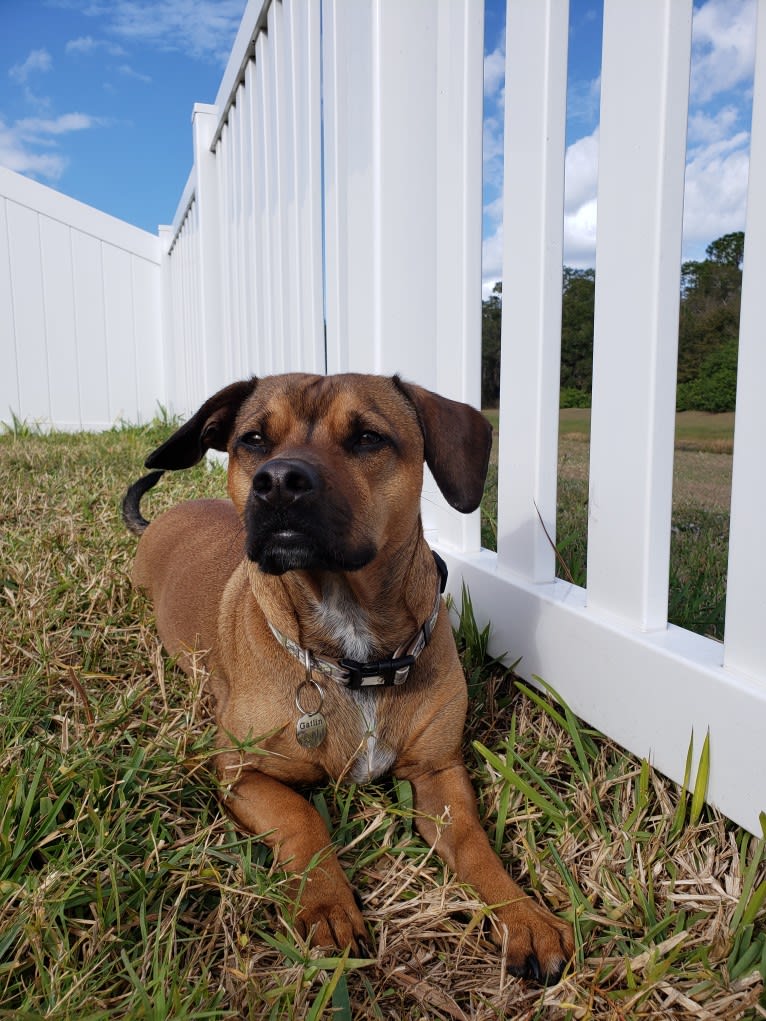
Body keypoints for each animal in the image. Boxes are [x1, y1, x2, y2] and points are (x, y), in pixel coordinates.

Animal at [123, 373, 571, 980]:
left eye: (367, 437)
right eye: (253, 439)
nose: (279, 482)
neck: (354, 650)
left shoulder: (438, 774)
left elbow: (476, 846)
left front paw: (524, 915)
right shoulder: (240, 770)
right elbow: (301, 819)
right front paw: (328, 905)